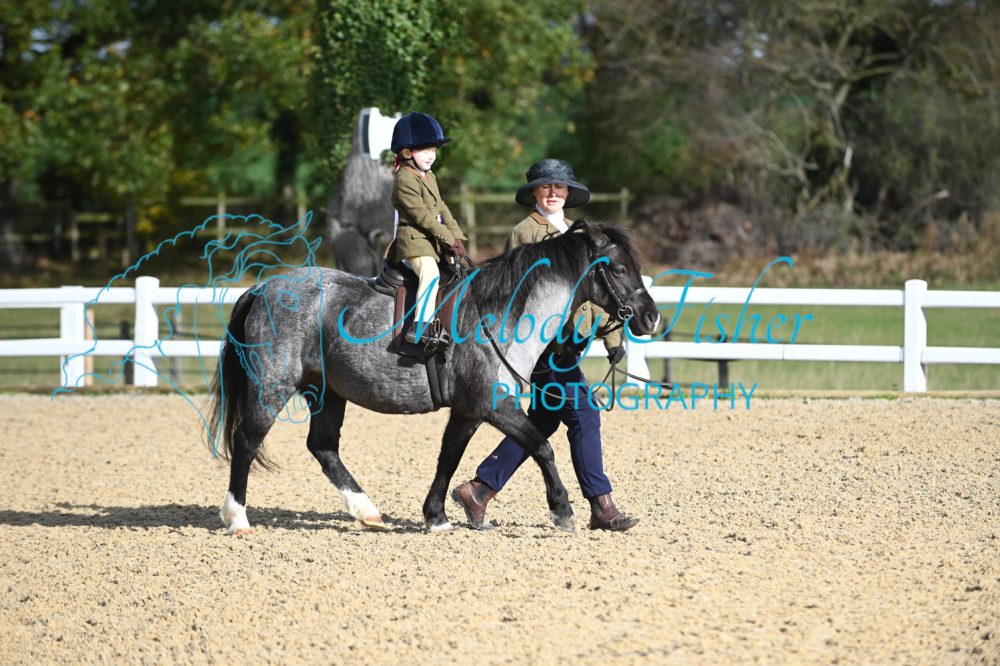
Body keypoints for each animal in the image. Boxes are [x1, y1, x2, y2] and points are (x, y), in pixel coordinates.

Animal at [208, 221, 660, 534]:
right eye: (619, 268)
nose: (651, 317)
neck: (499, 315)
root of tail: (262, 288)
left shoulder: (468, 412)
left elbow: (449, 458)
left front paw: (437, 516)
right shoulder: (494, 406)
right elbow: (541, 447)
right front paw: (562, 511)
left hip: (327, 392)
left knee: (322, 447)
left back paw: (367, 511)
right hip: (272, 388)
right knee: (246, 442)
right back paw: (237, 518)